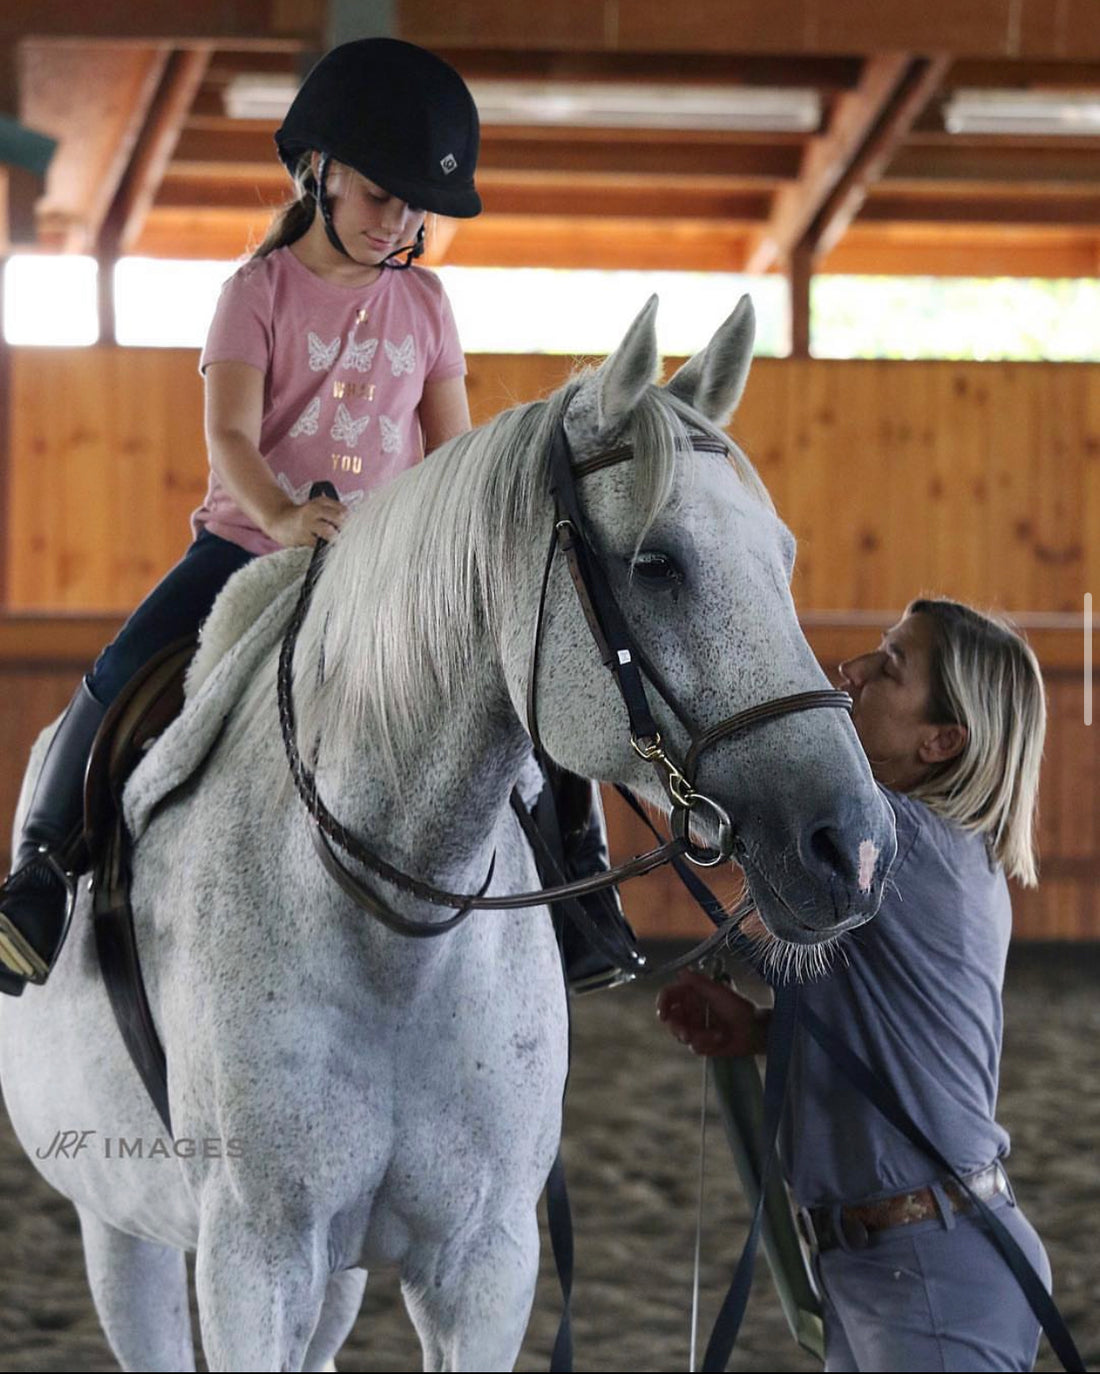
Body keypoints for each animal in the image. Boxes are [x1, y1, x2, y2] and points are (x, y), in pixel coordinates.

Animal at [0, 300, 889, 1374]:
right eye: (657, 564)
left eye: (784, 557)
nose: (852, 846)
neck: (389, 927)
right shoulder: (251, 1261)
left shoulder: (483, 1264)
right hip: (121, 1233)